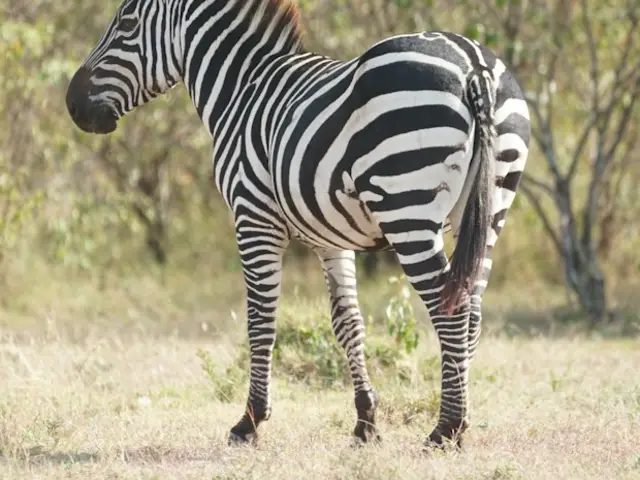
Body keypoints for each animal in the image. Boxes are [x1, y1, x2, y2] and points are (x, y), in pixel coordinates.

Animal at [66, 0, 531, 448]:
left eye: (126, 23)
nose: (72, 103)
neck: (242, 88)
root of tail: (473, 63)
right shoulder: (332, 236)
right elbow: (348, 321)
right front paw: (365, 424)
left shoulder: (253, 216)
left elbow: (260, 320)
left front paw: (250, 422)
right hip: (491, 209)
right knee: (472, 311)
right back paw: (460, 417)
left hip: (407, 209)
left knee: (450, 310)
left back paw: (445, 429)